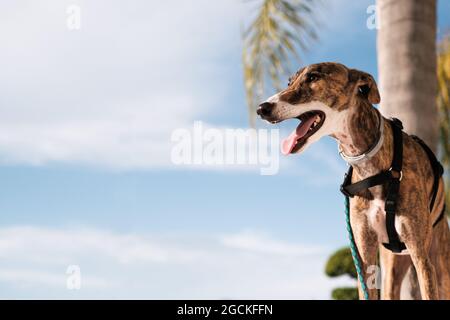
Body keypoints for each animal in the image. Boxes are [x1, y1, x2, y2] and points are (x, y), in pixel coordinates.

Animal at [256, 62, 450, 300]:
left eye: (313, 77)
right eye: (289, 82)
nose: (262, 109)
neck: (375, 165)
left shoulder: (422, 259)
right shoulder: (365, 257)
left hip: (438, 261)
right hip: (392, 266)